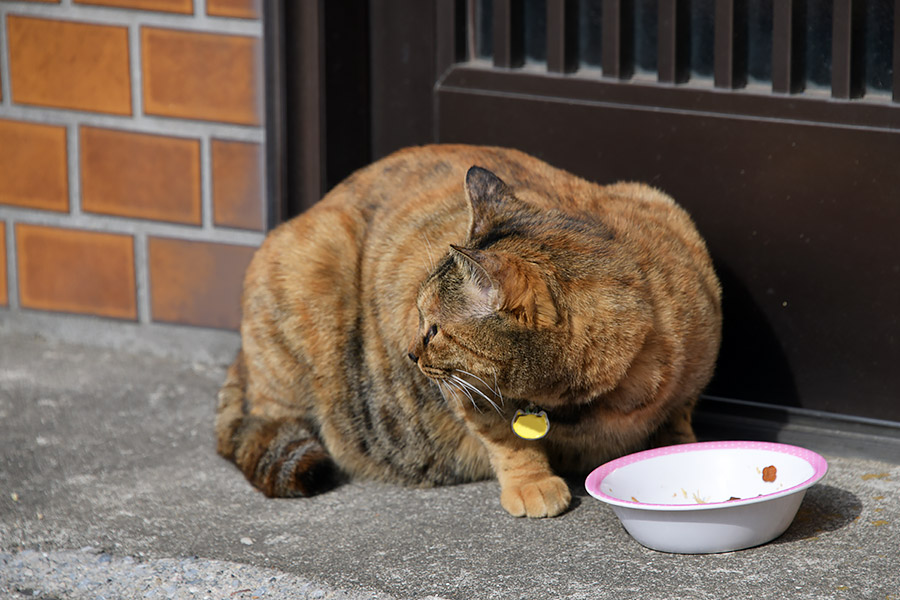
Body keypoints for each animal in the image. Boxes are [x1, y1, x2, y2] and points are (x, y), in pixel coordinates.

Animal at [214, 144, 720, 516]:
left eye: (435, 329)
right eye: (417, 317)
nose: (410, 354)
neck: (590, 405)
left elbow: (678, 417)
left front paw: (681, 451)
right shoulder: (467, 392)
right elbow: (507, 438)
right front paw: (533, 484)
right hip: (310, 270)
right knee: (269, 416)